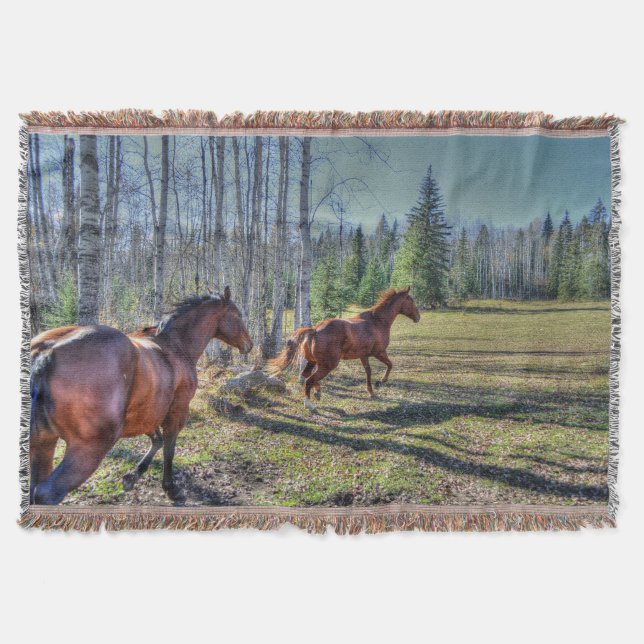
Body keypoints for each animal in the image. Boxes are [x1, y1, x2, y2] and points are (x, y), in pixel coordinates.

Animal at [29, 287, 252, 505]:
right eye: (237, 315)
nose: (249, 345)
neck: (176, 345)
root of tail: (47, 352)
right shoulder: (177, 411)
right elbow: (169, 448)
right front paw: (171, 489)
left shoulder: (146, 414)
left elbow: (157, 441)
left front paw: (132, 477)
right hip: (89, 447)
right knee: (47, 493)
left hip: (42, 442)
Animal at [268, 287, 420, 411]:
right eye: (411, 301)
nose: (418, 317)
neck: (377, 322)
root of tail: (315, 330)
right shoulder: (379, 352)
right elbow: (390, 365)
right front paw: (380, 382)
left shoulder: (364, 355)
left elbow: (368, 372)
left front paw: (371, 392)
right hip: (329, 365)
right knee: (309, 380)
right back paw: (310, 404)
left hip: (313, 361)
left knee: (307, 375)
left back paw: (318, 393)